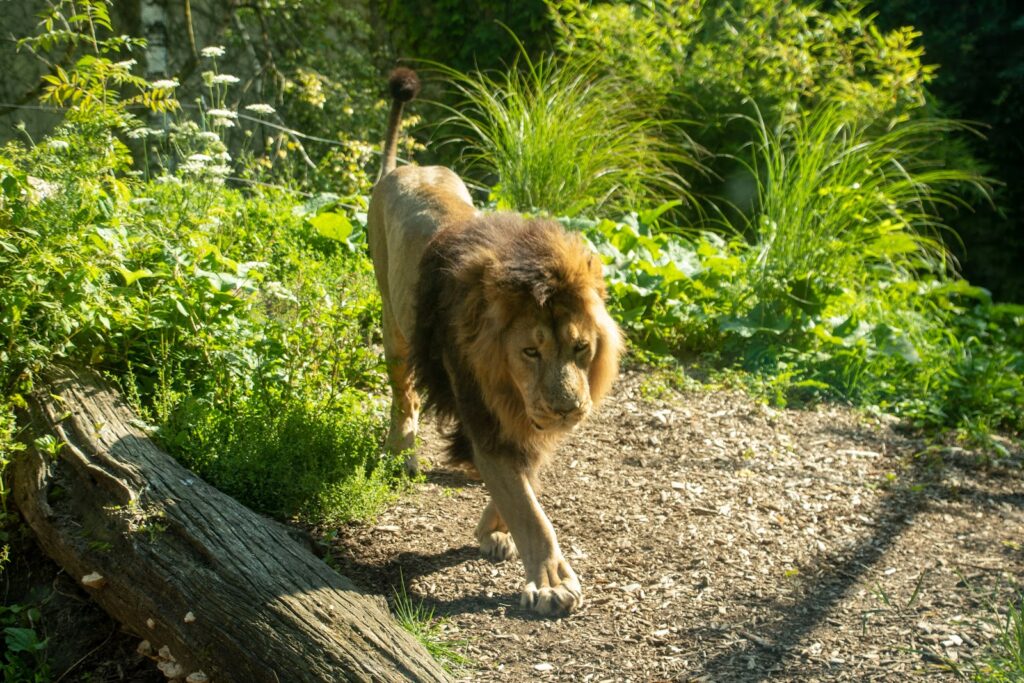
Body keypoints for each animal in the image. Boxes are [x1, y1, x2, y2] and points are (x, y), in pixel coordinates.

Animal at [368, 68, 622, 614]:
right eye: (530, 351)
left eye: (580, 348)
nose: (567, 409)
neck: (512, 389)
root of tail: (405, 168)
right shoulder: (483, 412)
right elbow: (529, 508)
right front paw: (551, 582)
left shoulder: (527, 422)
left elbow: (521, 484)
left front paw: (493, 532)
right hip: (394, 325)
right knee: (403, 394)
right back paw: (402, 449)